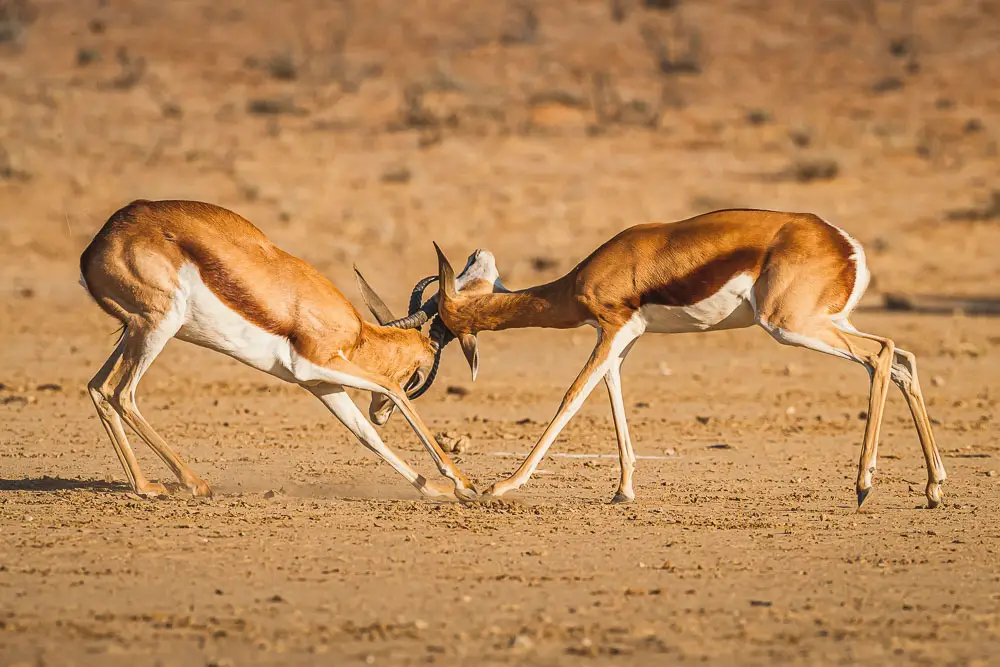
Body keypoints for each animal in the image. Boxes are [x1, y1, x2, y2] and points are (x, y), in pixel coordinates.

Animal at [80, 200, 478, 500]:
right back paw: (190, 485)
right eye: (419, 373)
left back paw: (146, 486)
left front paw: (438, 492)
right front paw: (464, 485)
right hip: (157, 327)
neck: (357, 335)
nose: (379, 414)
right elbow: (392, 389)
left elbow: (367, 435)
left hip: (135, 332)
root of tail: (97, 245)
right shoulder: (315, 364)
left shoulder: (321, 383)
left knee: (98, 387)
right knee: (122, 393)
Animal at [360, 211, 944, 508]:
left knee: (881, 354)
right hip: (826, 322)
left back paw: (865, 485)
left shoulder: (612, 328)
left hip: (791, 326)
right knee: (904, 359)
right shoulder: (623, 338)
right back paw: (934, 489)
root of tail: (845, 244)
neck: (581, 280)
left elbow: (572, 396)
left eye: (436, 331)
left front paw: (501, 485)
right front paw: (623, 491)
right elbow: (613, 398)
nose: (380, 411)